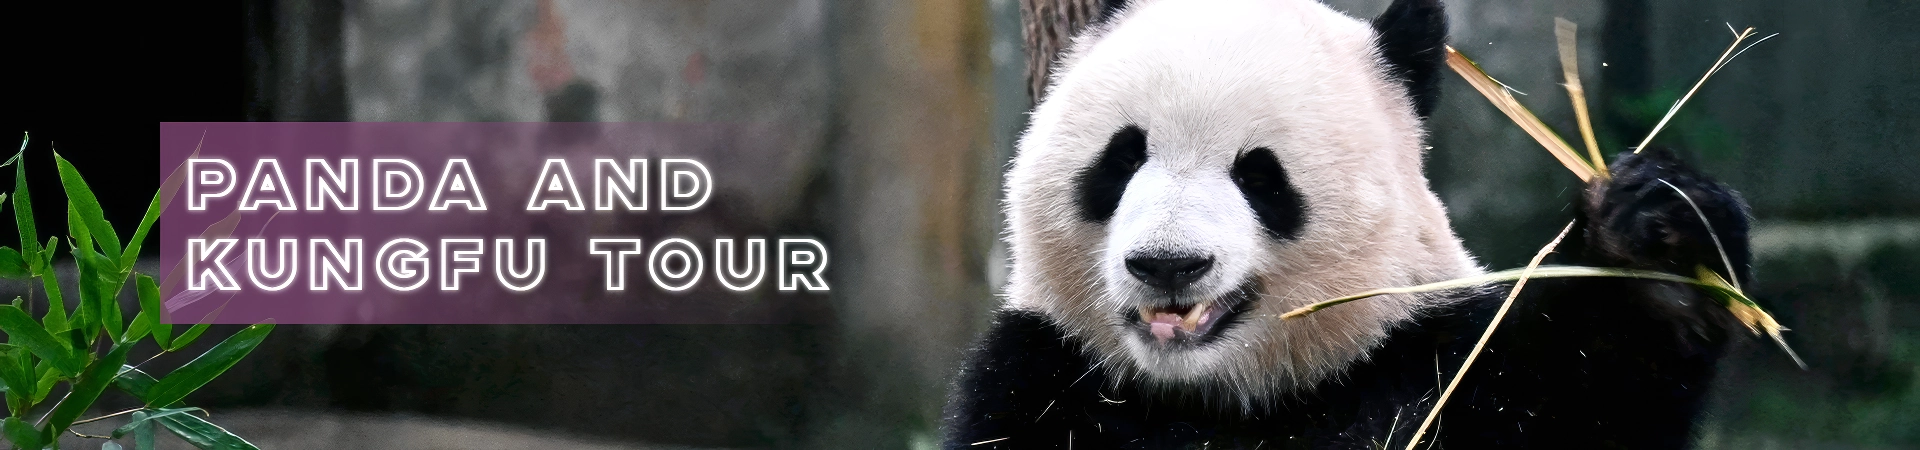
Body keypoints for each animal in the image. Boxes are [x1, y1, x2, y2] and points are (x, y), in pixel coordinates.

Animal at [945, 0, 1755, 448]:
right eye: (1122, 157)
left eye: (1260, 176)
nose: (1168, 264)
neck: (1221, 393)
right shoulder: (1037, 375)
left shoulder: (1436, 361)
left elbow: (1592, 394)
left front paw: (1659, 239)